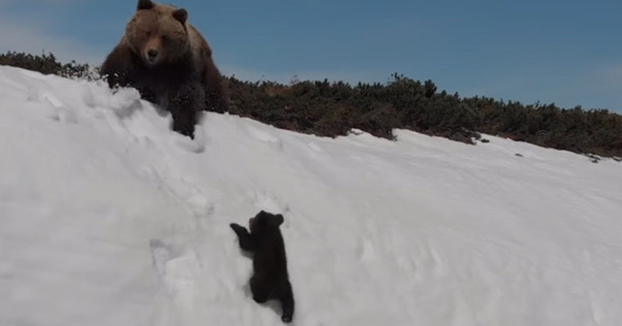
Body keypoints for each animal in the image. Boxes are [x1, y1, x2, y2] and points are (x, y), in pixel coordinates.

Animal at [101, 0, 228, 138]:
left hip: (207, 72)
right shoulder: (130, 59)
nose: (152, 53)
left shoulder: (182, 68)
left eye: (164, 36)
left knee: (215, 96)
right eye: (148, 31)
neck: (155, 67)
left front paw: (183, 129)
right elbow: (114, 74)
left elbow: (185, 97)